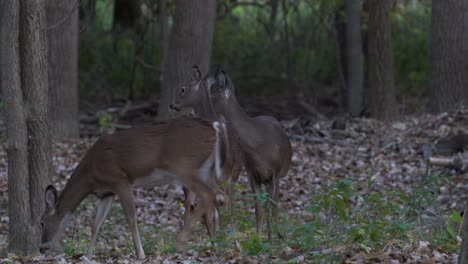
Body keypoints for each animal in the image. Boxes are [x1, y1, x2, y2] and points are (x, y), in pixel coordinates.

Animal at [38, 117, 234, 260]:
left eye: (42, 222)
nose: (41, 248)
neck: (90, 175)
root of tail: (215, 129)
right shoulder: (106, 192)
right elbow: (96, 224)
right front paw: (87, 256)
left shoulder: (120, 181)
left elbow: (131, 219)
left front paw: (140, 254)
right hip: (205, 170)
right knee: (219, 199)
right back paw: (219, 243)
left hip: (187, 168)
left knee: (211, 196)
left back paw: (184, 242)